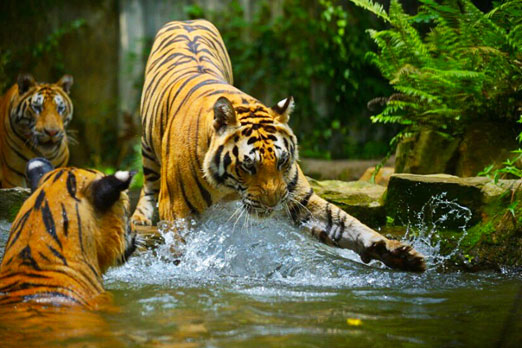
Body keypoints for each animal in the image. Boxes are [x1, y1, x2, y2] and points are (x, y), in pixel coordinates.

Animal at [132, 19, 424, 272]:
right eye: (248, 166)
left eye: (282, 161)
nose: (272, 204)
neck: (229, 189)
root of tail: (187, 21)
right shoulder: (177, 211)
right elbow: (180, 250)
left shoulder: (299, 197)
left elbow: (345, 224)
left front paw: (397, 253)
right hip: (147, 148)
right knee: (147, 183)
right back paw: (139, 218)